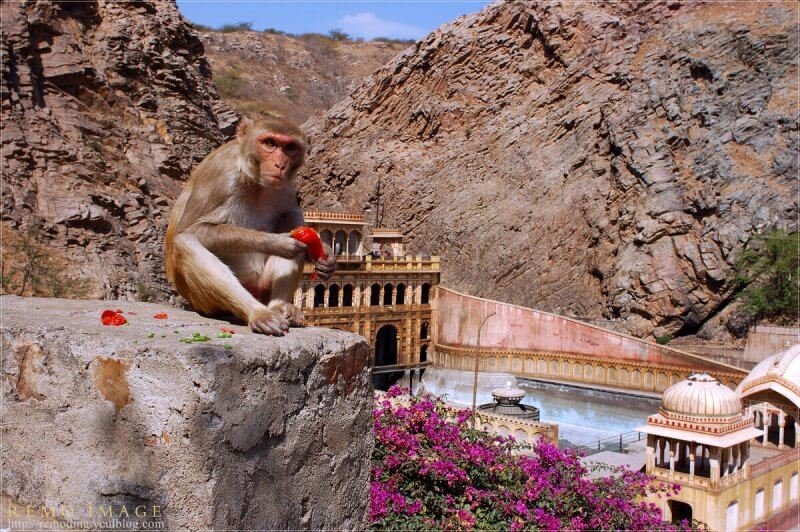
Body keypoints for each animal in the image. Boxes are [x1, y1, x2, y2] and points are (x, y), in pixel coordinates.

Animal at [165, 114, 335, 335]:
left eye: (289, 147)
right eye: (270, 143)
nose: (280, 165)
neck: (255, 180)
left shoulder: (285, 187)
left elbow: (292, 214)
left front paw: (325, 253)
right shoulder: (222, 175)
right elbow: (192, 229)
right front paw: (279, 243)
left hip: (263, 284)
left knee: (293, 222)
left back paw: (280, 307)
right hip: (203, 301)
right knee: (185, 241)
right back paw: (259, 313)